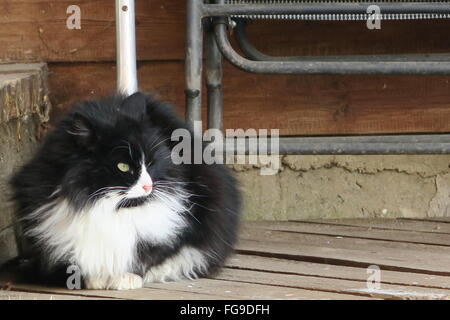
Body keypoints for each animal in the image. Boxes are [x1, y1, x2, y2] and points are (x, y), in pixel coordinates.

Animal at [7, 92, 239, 290]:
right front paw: (95, 280)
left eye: (151, 162)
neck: (106, 205)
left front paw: (126, 279)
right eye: (123, 167)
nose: (148, 186)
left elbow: (145, 256)